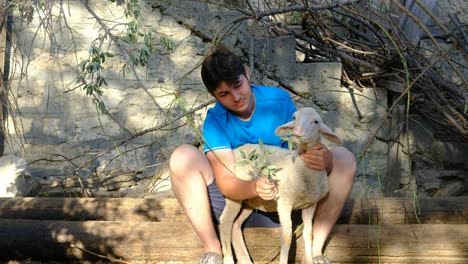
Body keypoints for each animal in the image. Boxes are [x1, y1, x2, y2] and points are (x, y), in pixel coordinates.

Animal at [218, 106, 342, 264]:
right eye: (294, 118)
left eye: (316, 122)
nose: (297, 133)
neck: (301, 172)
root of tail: (236, 150)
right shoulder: (284, 202)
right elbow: (286, 237)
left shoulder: (310, 205)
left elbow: (309, 234)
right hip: (234, 193)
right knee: (225, 223)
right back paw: (228, 258)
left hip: (250, 201)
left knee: (235, 225)